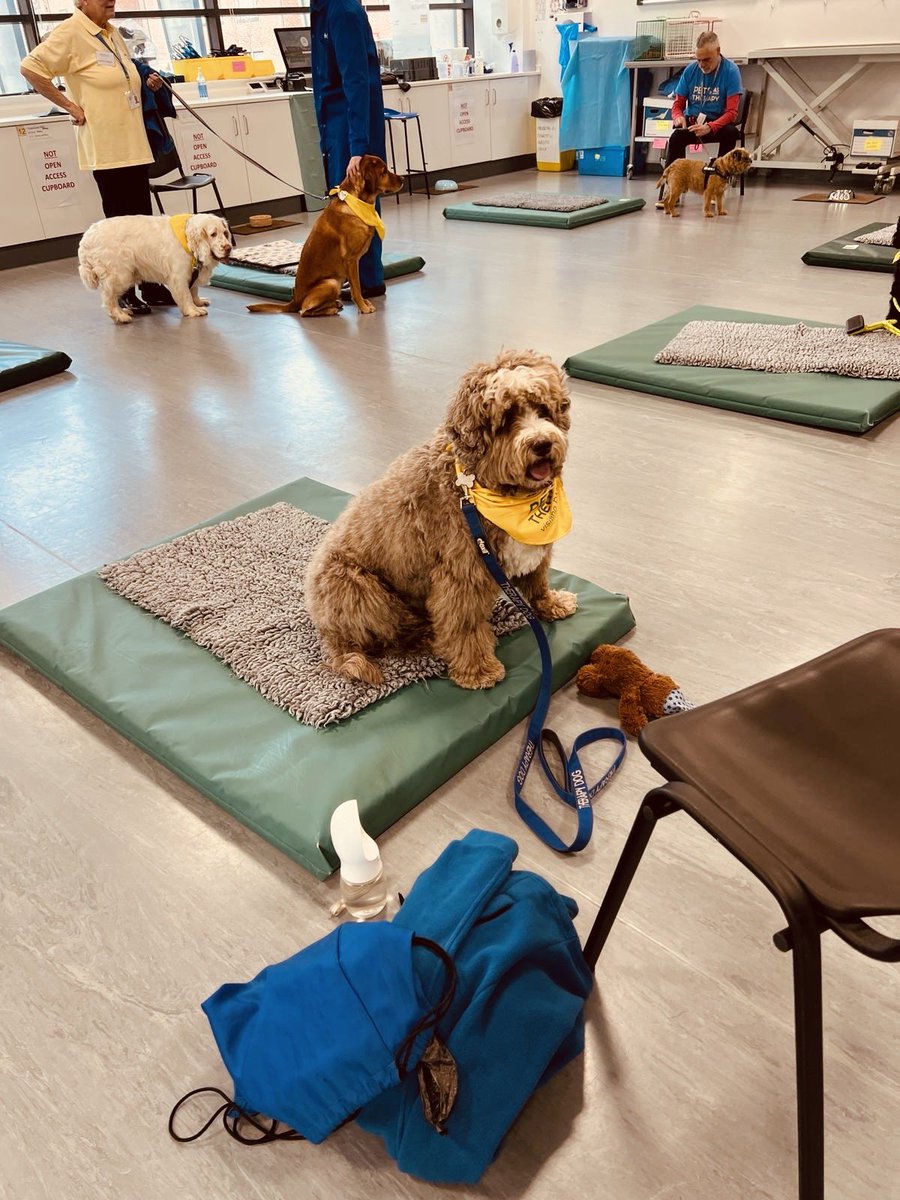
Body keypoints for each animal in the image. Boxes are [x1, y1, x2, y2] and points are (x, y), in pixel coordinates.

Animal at [247, 152, 400, 316]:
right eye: (384, 172)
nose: (403, 179)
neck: (355, 202)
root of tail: (294, 301)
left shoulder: (355, 262)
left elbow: (357, 286)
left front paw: (364, 304)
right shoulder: (351, 260)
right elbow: (356, 289)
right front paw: (363, 307)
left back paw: (335, 303)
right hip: (331, 283)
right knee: (304, 311)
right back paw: (331, 308)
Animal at [307, 350, 578, 686]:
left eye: (543, 410)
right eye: (506, 419)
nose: (542, 444)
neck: (478, 484)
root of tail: (328, 632)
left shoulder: (533, 551)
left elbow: (537, 582)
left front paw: (551, 604)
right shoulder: (462, 573)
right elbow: (463, 624)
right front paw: (477, 669)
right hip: (357, 588)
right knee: (387, 637)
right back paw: (425, 638)